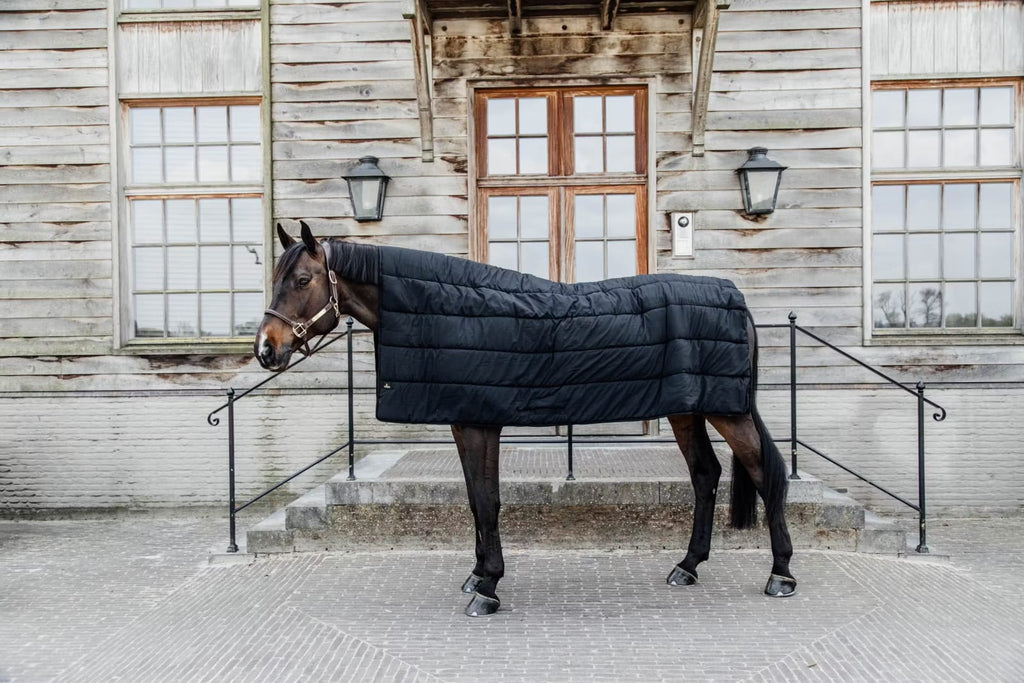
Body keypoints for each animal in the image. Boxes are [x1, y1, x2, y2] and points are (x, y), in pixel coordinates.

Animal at [255, 221, 796, 617]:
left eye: (302, 281)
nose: (265, 349)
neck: (445, 308)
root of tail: (735, 297)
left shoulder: (480, 424)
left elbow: (488, 501)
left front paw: (488, 588)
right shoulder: (465, 420)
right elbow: (476, 501)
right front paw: (478, 574)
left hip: (727, 410)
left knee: (764, 473)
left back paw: (781, 575)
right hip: (688, 409)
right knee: (706, 474)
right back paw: (687, 566)